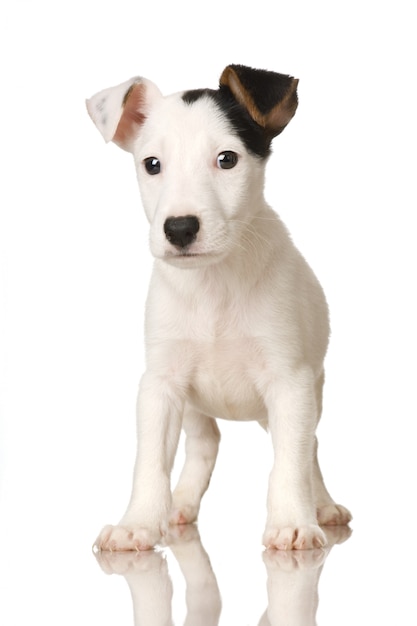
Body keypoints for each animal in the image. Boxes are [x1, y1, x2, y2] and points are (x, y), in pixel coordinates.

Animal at [88, 63, 352, 548]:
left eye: (227, 159)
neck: (214, 283)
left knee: (309, 450)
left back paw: (322, 506)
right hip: (194, 406)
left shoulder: (290, 385)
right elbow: (149, 461)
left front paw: (293, 520)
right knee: (204, 445)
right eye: (152, 164)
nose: (179, 228)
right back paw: (180, 505)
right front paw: (138, 522)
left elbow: (290, 462)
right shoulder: (160, 385)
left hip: (308, 397)